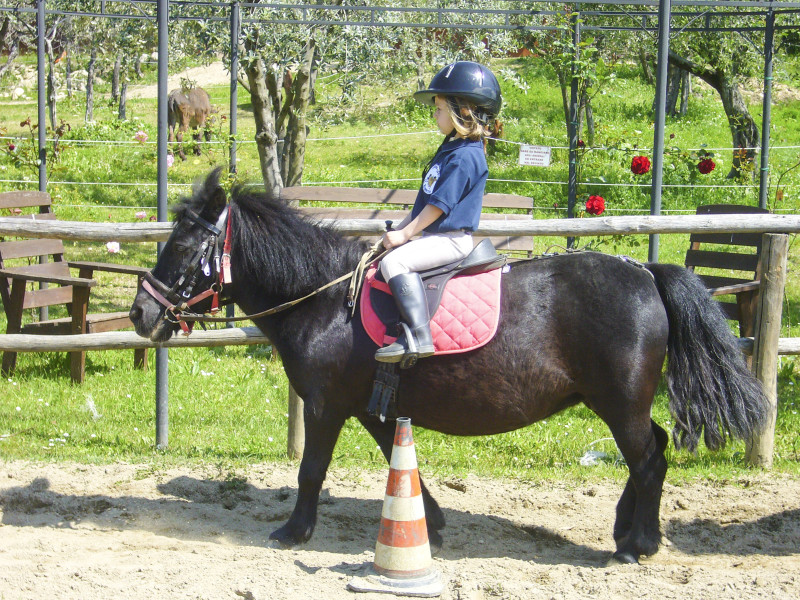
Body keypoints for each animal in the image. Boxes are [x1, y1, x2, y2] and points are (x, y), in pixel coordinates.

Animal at [131, 171, 768, 564]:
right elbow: (397, 461)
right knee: (649, 452)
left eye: (183, 248)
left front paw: (293, 531)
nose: (141, 313)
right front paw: (429, 522)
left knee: (649, 459)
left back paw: (638, 543)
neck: (324, 299)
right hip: (618, 401)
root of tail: (646, 273)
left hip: (619, 401)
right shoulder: (371, 405)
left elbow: (312, 469)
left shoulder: (327, 405)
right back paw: (625, 531)